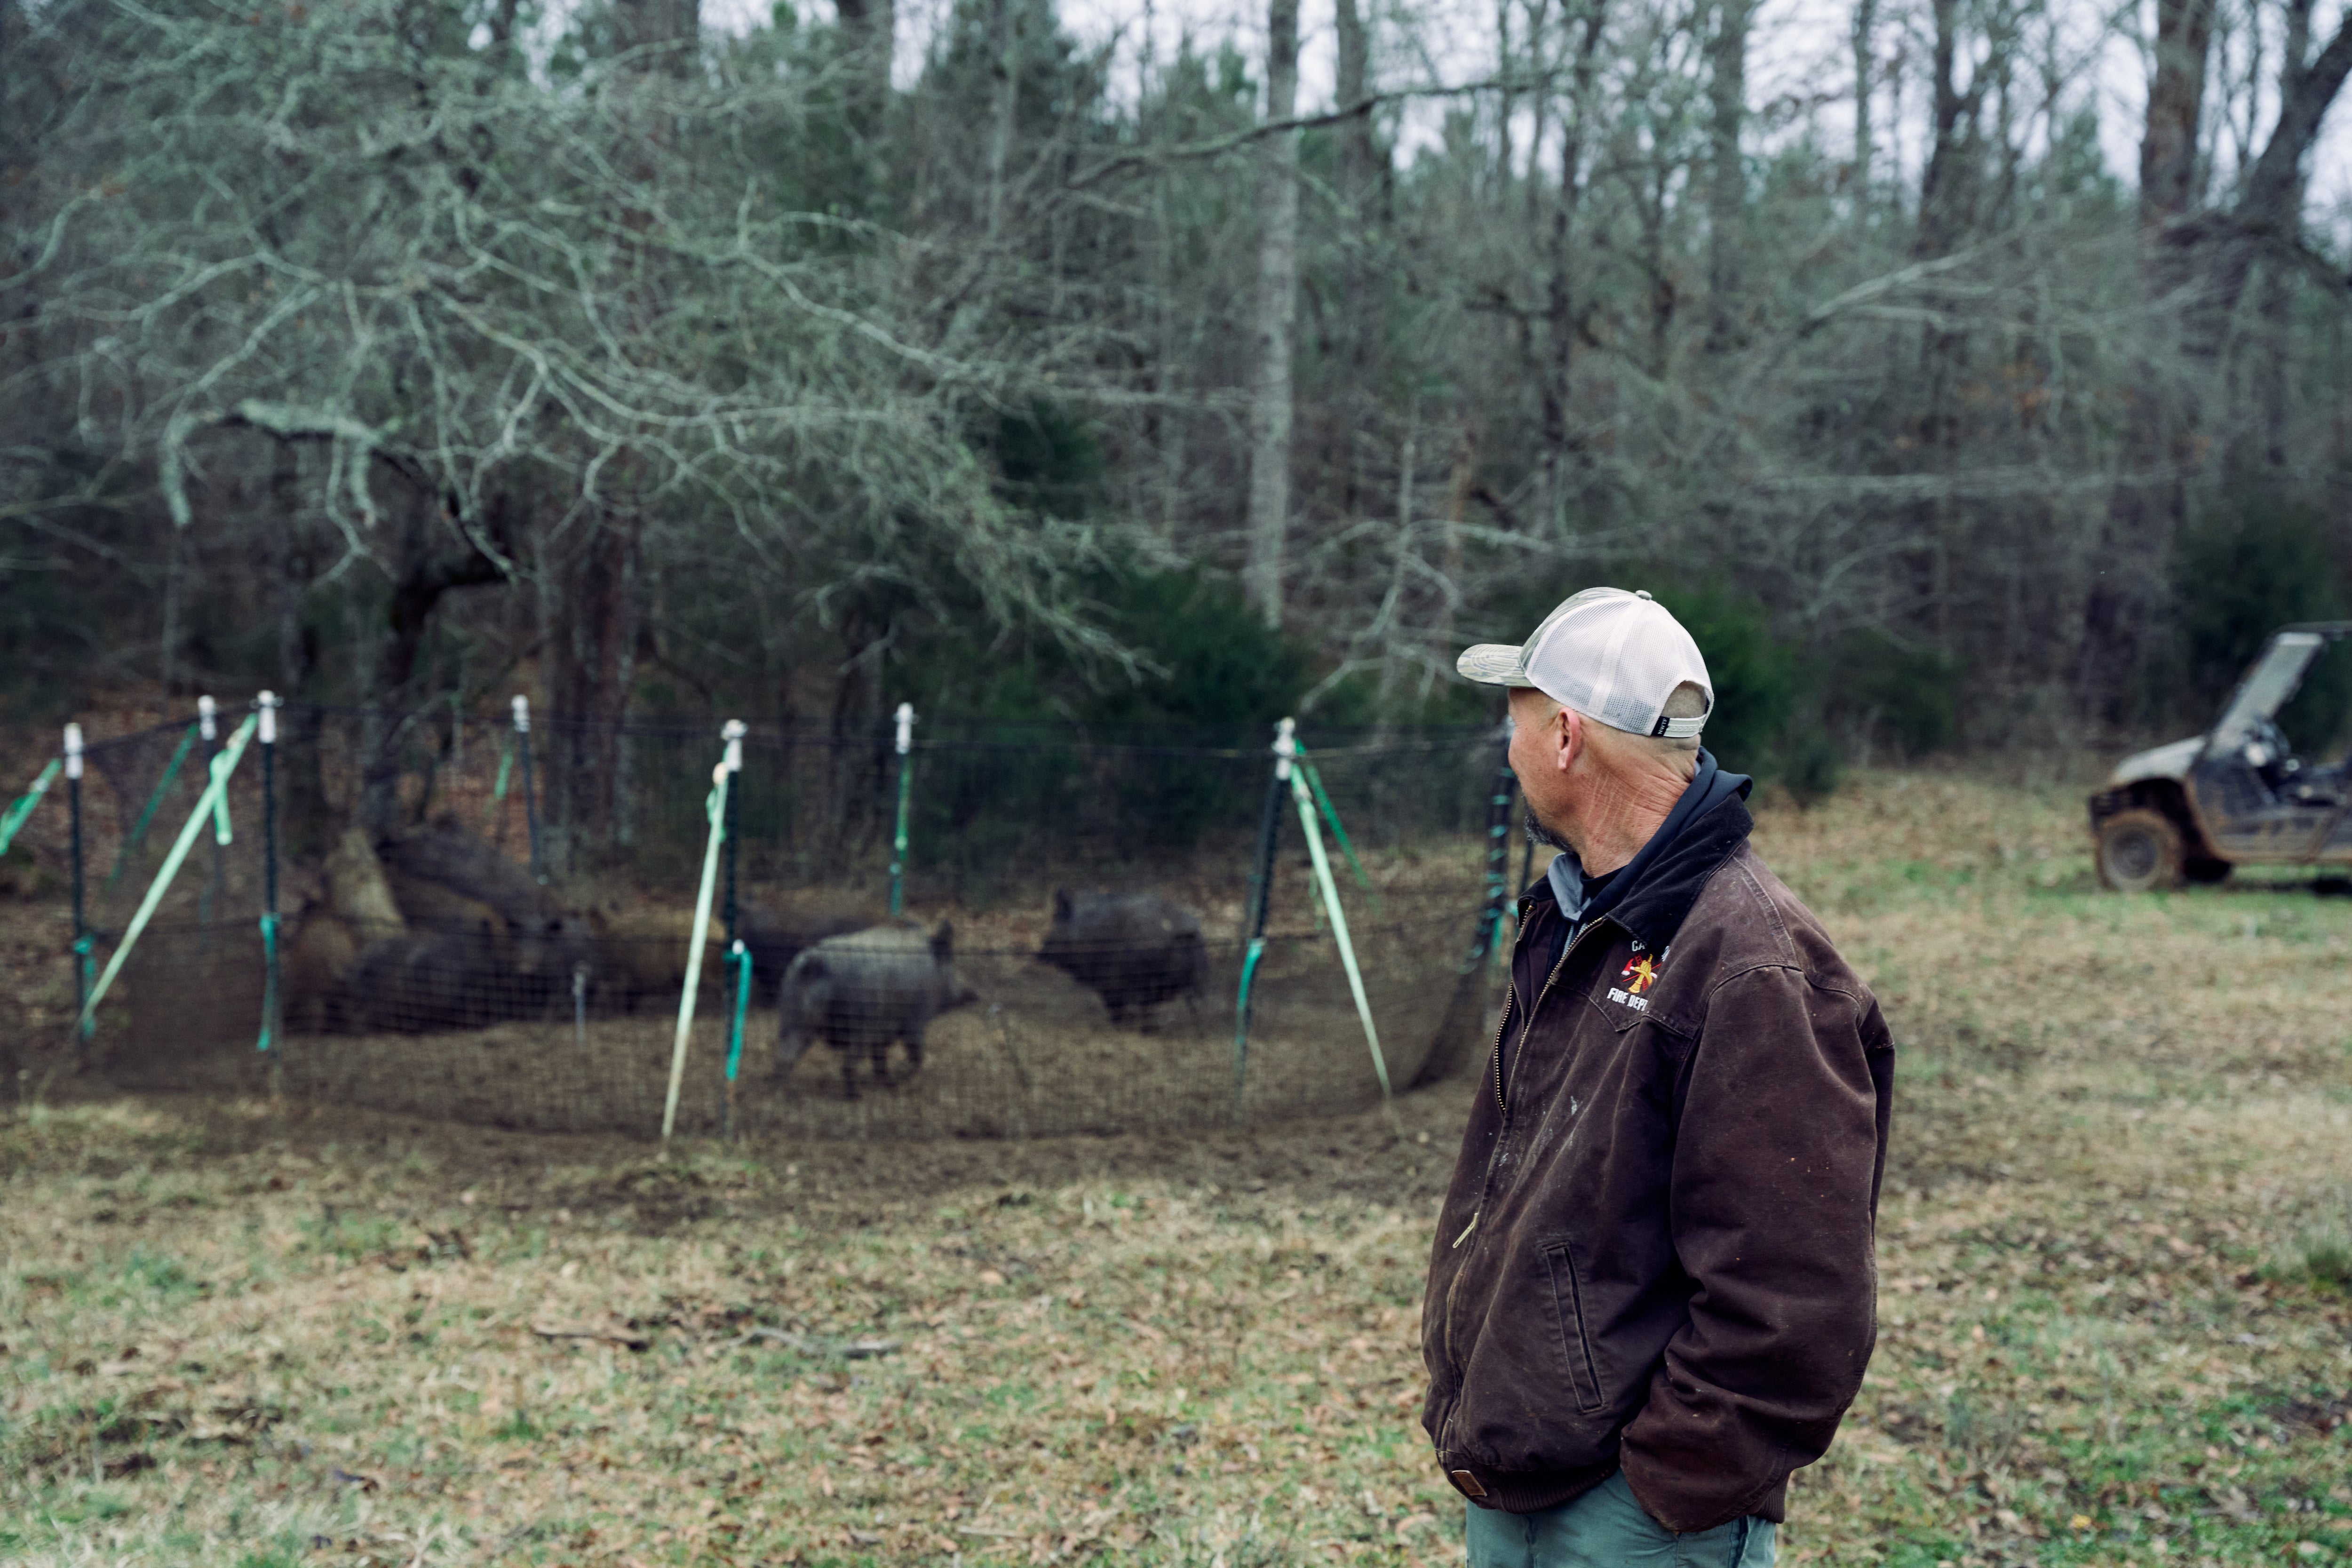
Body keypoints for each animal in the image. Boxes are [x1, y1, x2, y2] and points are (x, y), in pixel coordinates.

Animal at [776, 921, 978, 1105]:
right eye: (952, 963)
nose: (975, 994)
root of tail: (816, 961)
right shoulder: (916, 1018)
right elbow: (916, 1055)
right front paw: (896, 1080)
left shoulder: (882, 1031)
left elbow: (880, 1058)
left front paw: (886, 1082)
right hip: (859, 1023)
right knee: (848, 1065)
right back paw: (857, 1097)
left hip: (792, 1012)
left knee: (785, 1055)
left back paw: (783, 1090)